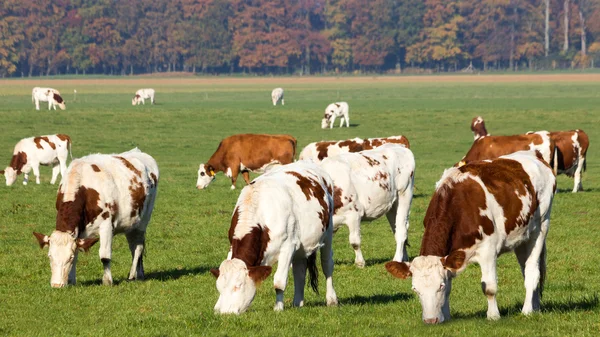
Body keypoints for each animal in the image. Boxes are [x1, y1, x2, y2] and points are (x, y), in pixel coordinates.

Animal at [32, 148, 158, 288]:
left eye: (69, 257)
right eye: (50, 256)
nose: (56, 285)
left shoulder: (106, 225)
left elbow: (104, 256)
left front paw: (107, 281)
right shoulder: (78, 230)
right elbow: (78, 251)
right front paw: (71, 281)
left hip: (143, 221)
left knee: (138, 248)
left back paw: (131, 276)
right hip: (131, 224)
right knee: (133, 246)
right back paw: (139, 274)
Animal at [212, 160, 340, 312]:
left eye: (238, 285)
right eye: (219, 288)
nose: (224, 313)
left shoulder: (288, 246)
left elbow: (279, 282)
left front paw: (278, 308)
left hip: (328, 232)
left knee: (327, 265)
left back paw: (331, 299)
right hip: (302, 247)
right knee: (300, 271)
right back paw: (298, 302)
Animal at [386, 150, 556, 322]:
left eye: (439, 286)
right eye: (415, 289)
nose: (430, 320)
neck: (458, 205)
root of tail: (534, 155)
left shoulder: (488, 251)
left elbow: (489, 287)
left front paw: (493, 316)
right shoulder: (451, 257)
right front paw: (446, 316)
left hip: (541, 227)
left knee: (532, 271)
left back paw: (527, 311)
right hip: (522, 238)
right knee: (526, 269)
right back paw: (535, 307)